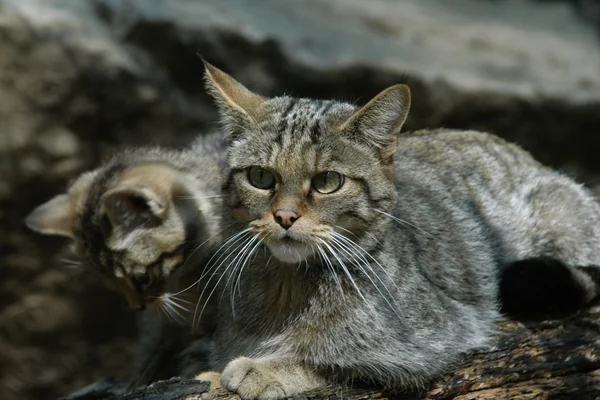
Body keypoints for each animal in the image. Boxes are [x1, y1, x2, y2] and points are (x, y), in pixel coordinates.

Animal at [200, 63, 600, 400]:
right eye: (260, 177)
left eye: (328, 181)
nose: (284, 216)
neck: (287, 286)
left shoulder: (428, 344)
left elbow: (331, 361)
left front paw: (265, 368)